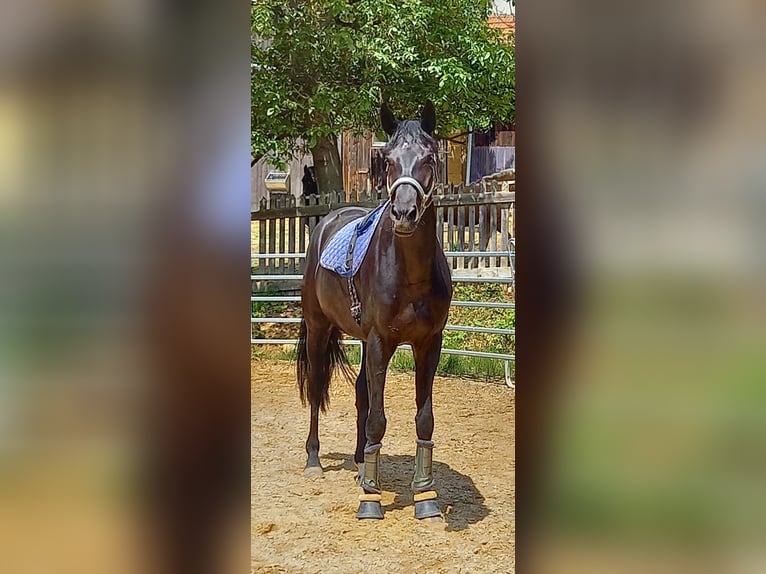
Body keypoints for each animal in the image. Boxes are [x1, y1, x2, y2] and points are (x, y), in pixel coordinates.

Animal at [296, 101, 452, 521]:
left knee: (361, 395)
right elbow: (379, 420)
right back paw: (314, 461)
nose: (404, 213)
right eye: (389, 160)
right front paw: (371, 498)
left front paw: (425, 495)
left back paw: (358, 461)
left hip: (364, 341)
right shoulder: (382, 342)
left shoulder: (428, 344)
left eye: (429, 158)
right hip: (319, 330)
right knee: (316, 389)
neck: (410, 276)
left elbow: (424, 419)